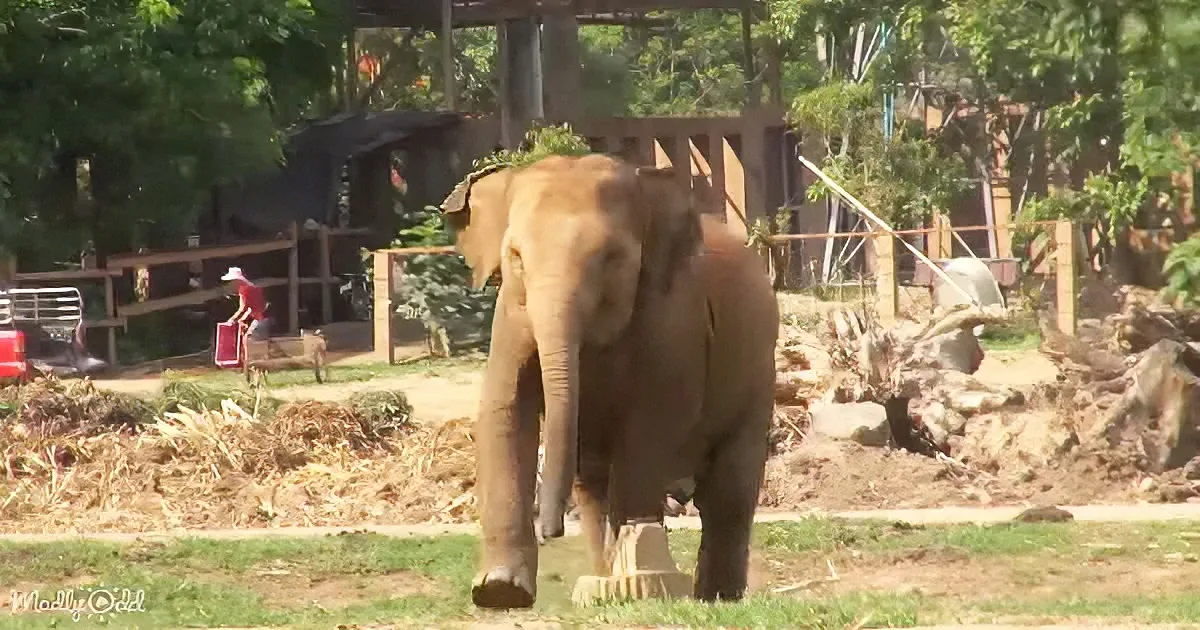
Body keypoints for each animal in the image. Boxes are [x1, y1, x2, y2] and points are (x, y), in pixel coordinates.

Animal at [440, 153, 778, 609]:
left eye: (613, 258)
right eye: (516, 257)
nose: (551, 531)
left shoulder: (673, 319)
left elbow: (653, 421)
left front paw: (639, 582)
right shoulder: (510, 314)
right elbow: (505, 409)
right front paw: (499, 592)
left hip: (758, 376)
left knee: (727, 489)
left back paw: (715, 596)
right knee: (596, 486)